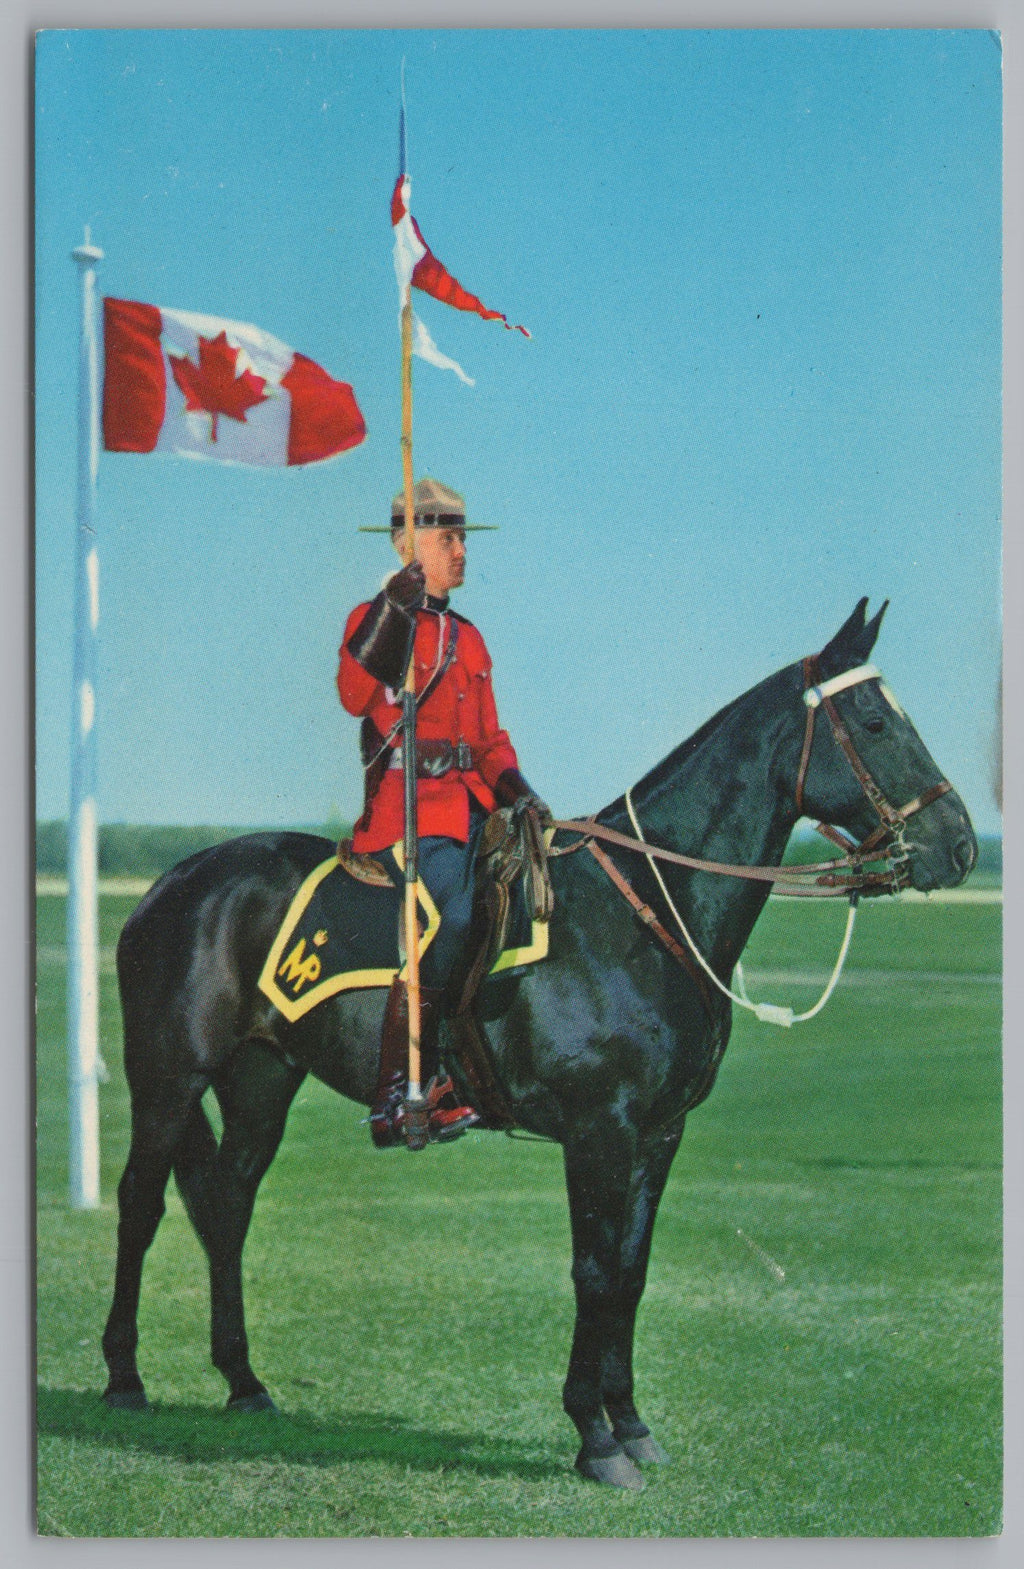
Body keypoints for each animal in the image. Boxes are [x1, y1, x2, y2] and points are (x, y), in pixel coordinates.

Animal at [101, 602, 972, 1493]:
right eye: (874, 721)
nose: (958, 845)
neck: (646, 913)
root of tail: (173, 883)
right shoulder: (599, 1129)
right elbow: (595, 1271)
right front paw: (594, 1436)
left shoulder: (658, 1132)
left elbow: (630, 1270)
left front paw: (631, 1424)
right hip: (167, 1077)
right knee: (141, 1202)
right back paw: (124, 1376)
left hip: (261, 1079)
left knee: (228, 1205)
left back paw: (244, 1382)